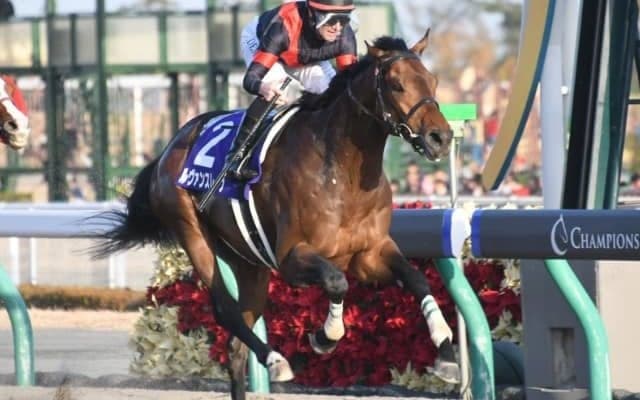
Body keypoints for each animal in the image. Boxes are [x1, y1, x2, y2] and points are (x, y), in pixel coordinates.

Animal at [92, 30, 459, 399]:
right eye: (397, 85)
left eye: (432, 80)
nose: (440, 137)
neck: (344, 174)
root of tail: (170, 146)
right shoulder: (291, 259)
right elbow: (336, 282)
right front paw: (325, 337)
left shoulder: (369, 254)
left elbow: (417, 278)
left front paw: (446, 355)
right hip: (191, 231)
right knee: (225, 310)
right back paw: (275, 360)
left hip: (249, 262)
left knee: (235, 347)